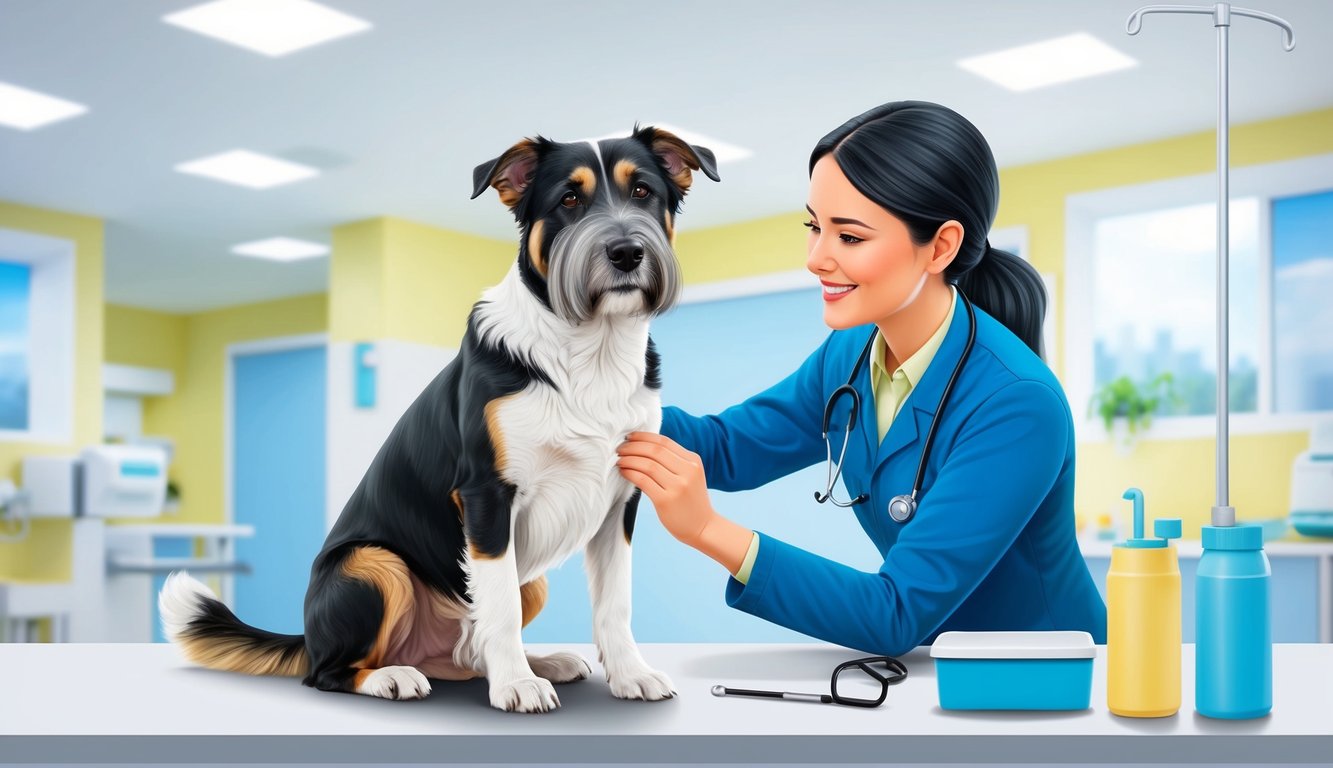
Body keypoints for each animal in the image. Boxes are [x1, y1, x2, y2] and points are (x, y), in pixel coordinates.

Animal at [158, 127, 719, 714]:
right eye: (569, 199)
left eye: (643, 192)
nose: (627, 252)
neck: (592, 351)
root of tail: (309, 636)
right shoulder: (486, 496)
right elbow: (499, 607)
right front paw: (517, 686)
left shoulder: (619, 500)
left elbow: (614, 602)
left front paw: (630, 674)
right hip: (373, 564)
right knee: (329, 672)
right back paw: (394, 677)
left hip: (525, 579)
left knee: (470, 651)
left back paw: (540, 662)